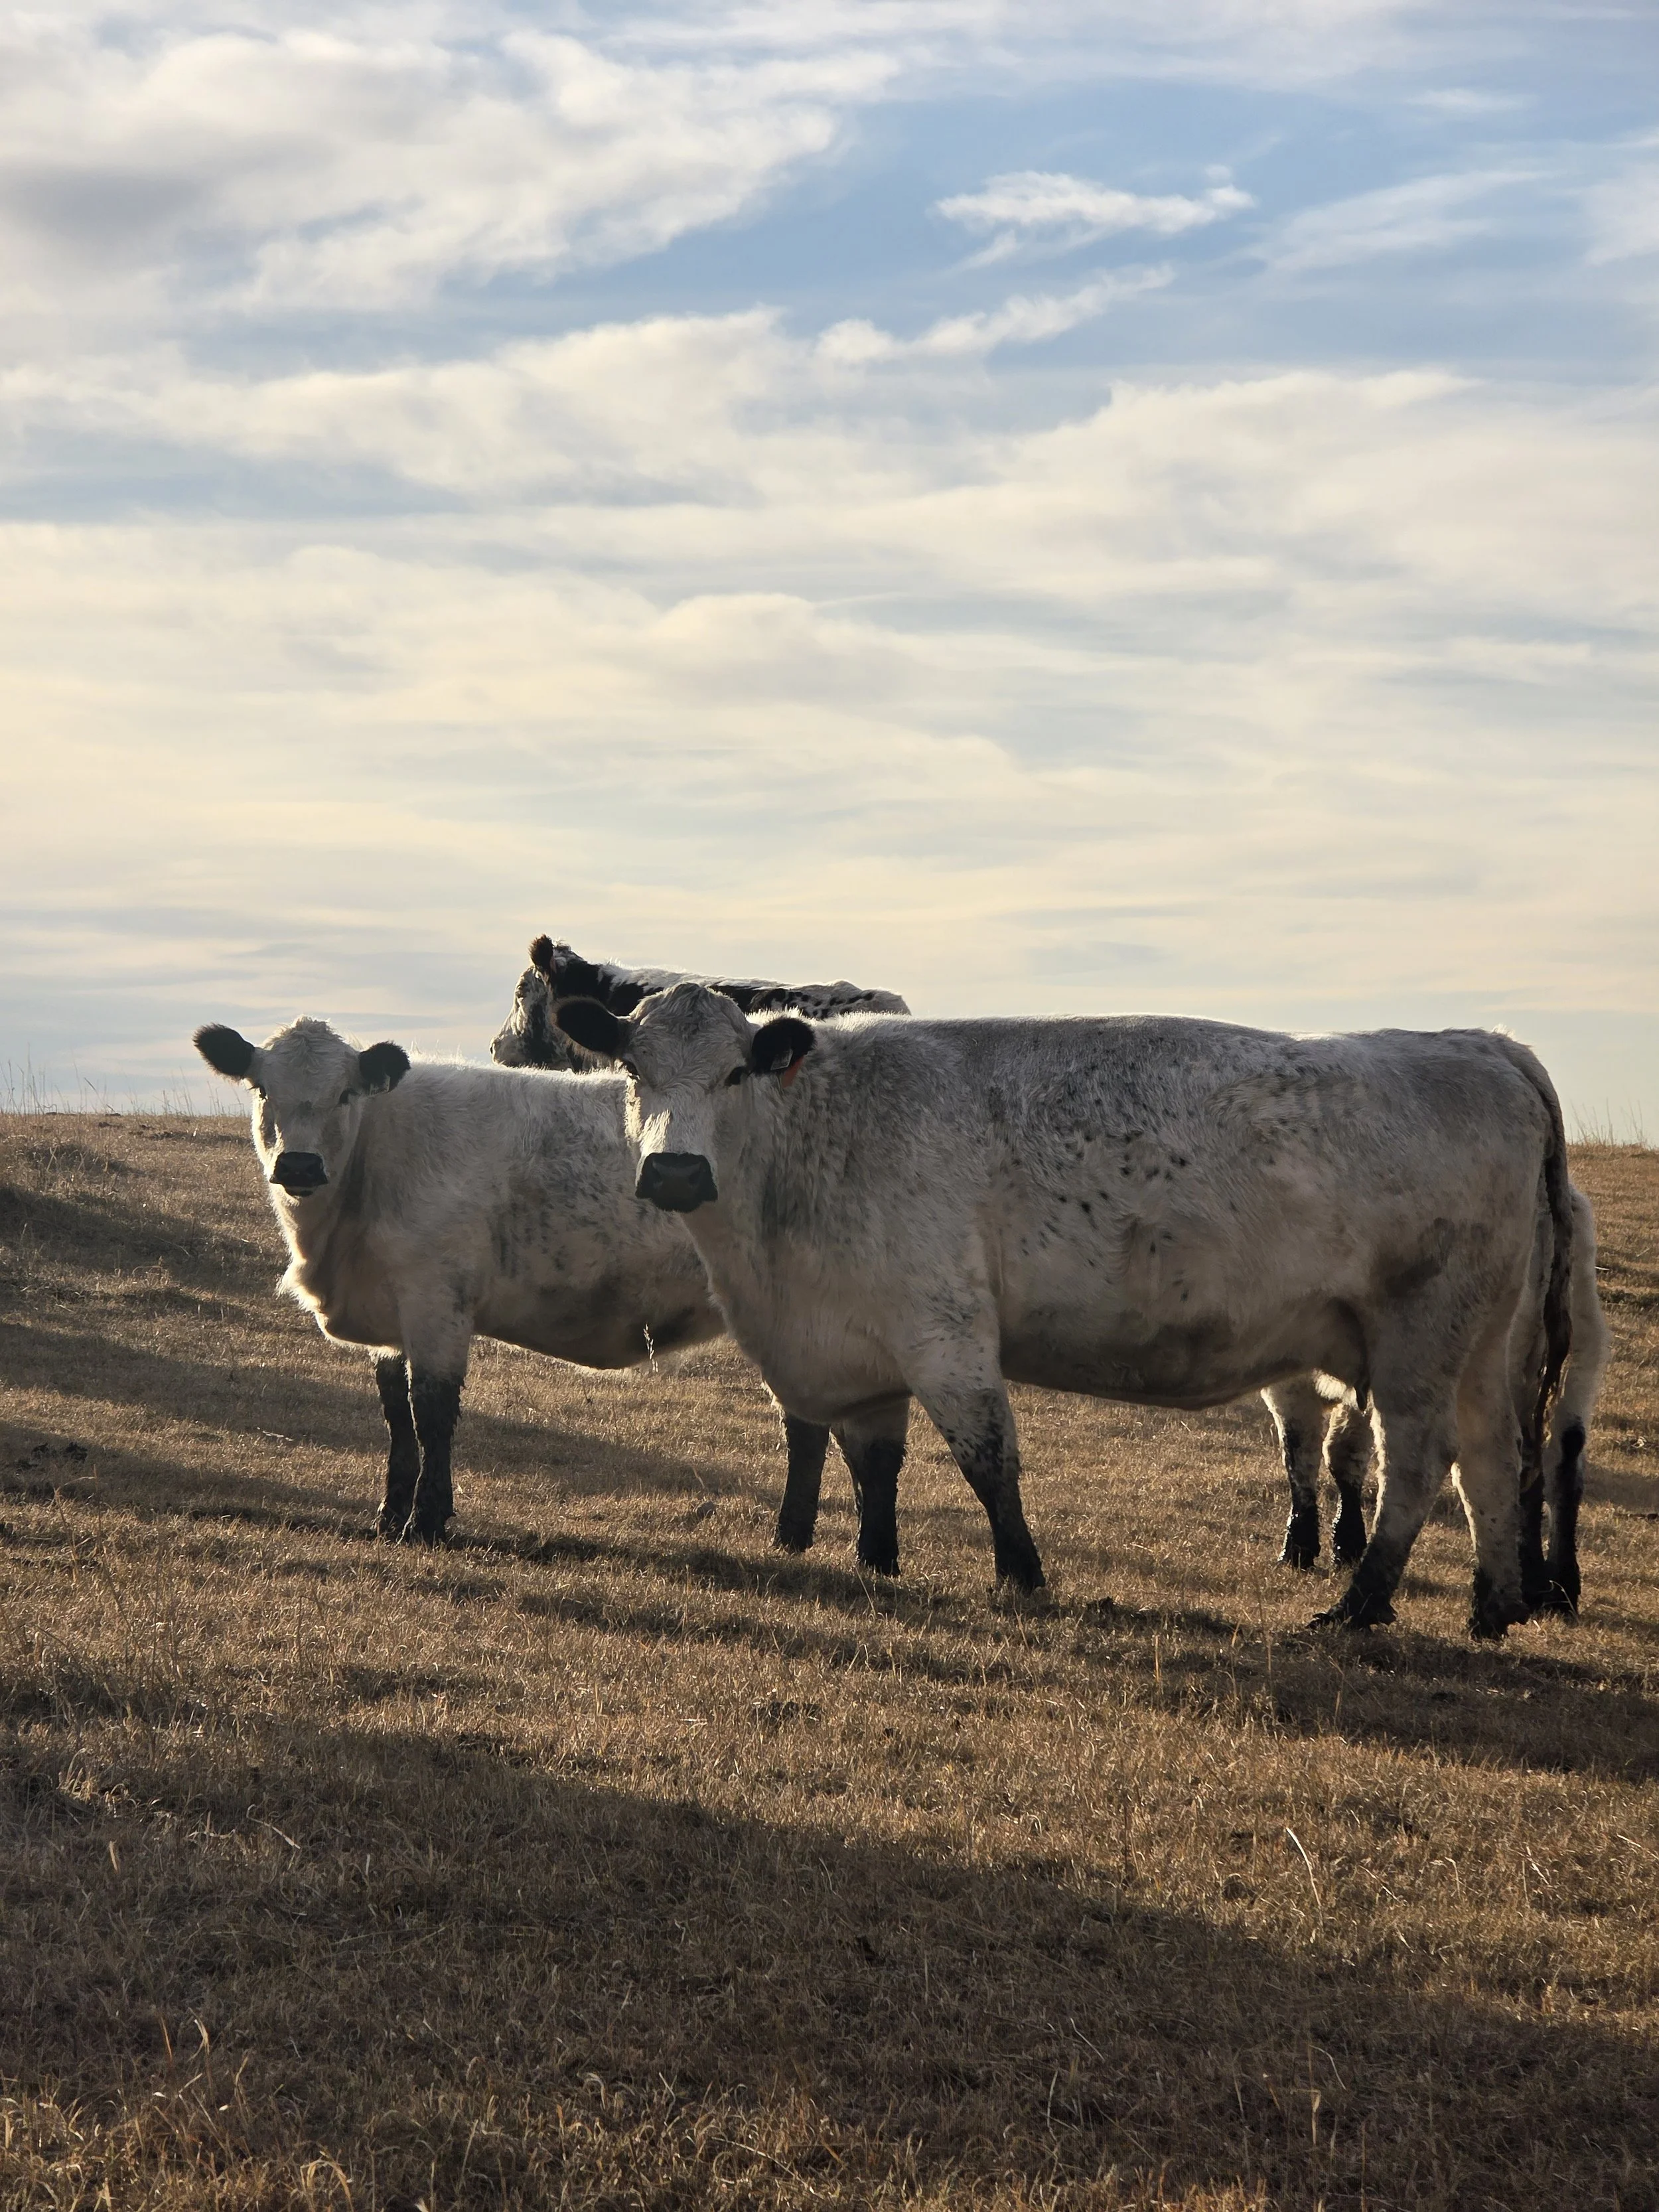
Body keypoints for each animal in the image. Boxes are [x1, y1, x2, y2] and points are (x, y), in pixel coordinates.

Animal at [192, 1016, 728, 1544]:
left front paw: (426, 1521)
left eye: (345, 1093)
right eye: (262, 1089)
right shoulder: (390, 1316)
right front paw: (389, 1516)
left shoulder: (436, 1302)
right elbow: (396, 1414)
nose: (299, 1165)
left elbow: (431, 1412)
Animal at [1261, 1182, 1608, 1612]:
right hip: (1580, 1361)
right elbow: (1344, 1452)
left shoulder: (1294, 1381)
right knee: (1562, 1459)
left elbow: (1303, 1452)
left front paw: (1303, 1548)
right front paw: (1346, 1543)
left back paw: (1528, 1579)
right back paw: (1557, 1585)